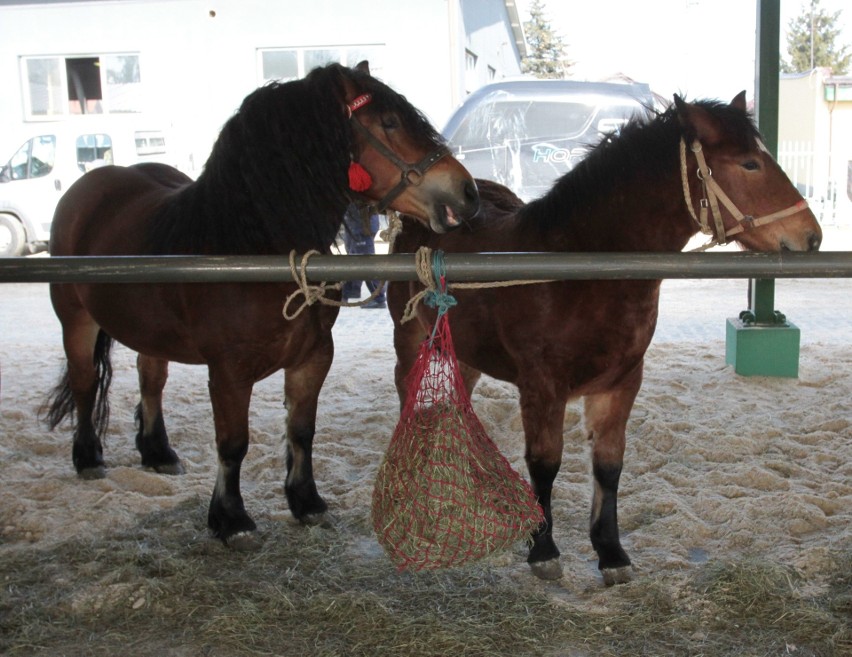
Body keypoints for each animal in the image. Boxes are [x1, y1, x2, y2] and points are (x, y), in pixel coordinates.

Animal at [45, 61, 480, 540]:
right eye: (389, 122)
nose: (468, 192)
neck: (254, 249)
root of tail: (90, 183)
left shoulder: (313, 356)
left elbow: (302, 430)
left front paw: (306, 501)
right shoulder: (229, 371)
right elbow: (233, 443)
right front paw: (230, 518)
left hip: (149, 332)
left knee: (151, 378)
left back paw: (158, 452)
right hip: (75, 320)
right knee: (85, 381)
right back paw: (88, 457)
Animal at [390, 92, 824, 584]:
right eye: (750, 163)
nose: (811, 236)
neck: (581, 270)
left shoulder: (621, 382)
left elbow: (609, 465)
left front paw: (610, 551)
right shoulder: (543, 386)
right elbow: (545, 464)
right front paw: (543, 549)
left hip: (466, 350)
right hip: (410, 341)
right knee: (407, 396)